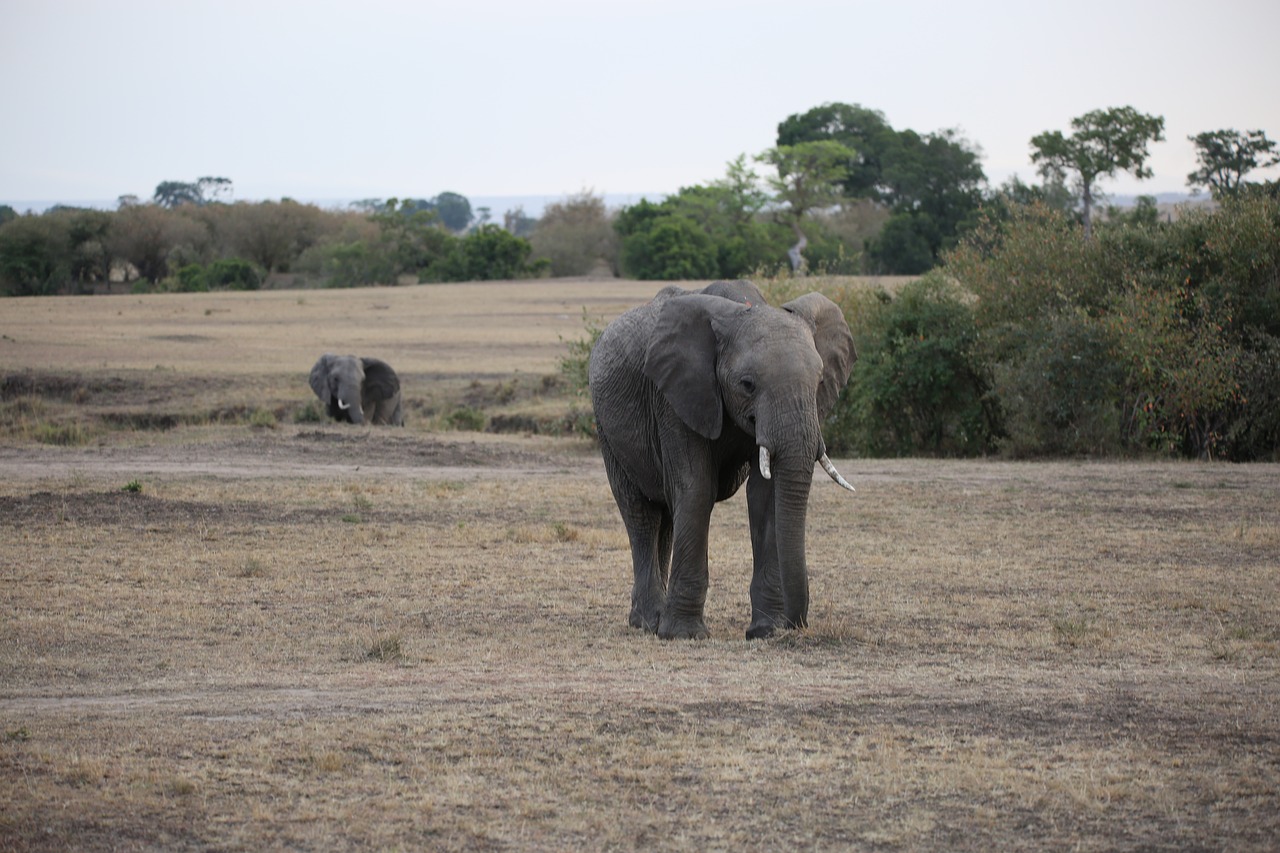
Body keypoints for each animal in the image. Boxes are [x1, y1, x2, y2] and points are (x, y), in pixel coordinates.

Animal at [591, 279, 860, 637]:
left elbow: (765, 496)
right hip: (606, 428)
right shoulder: (675, 396)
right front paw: (684, 635)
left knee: (666, 516)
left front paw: (765, 630)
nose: (795, 625)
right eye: (747, 384)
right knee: (642, 514)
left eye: (819, 383)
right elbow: (696, 489)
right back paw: (649, 622)